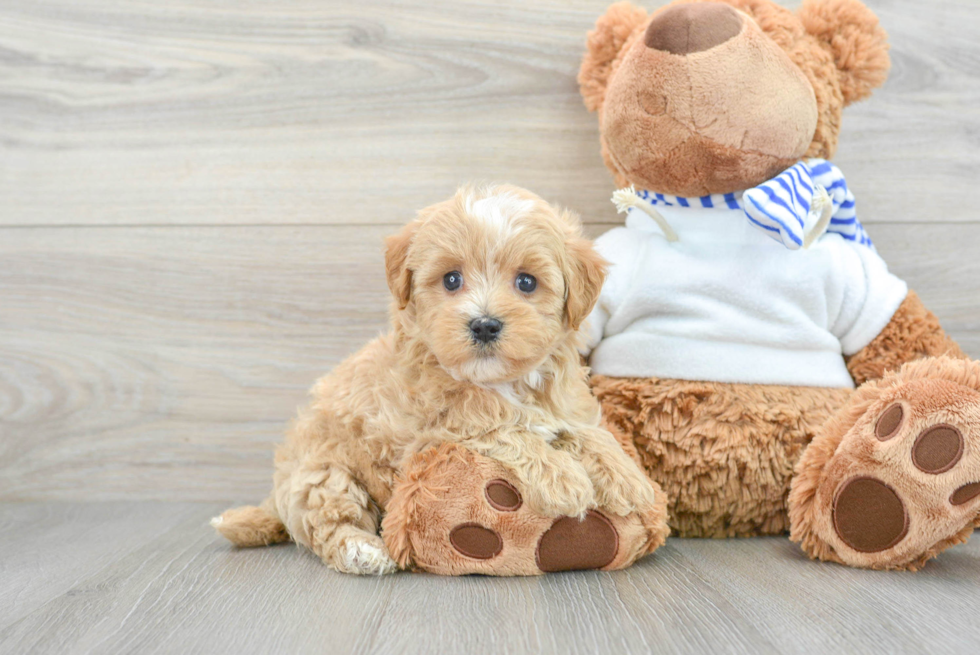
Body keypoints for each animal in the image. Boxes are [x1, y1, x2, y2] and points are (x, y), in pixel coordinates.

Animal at [214, 184, 660, 576]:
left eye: (526, 282)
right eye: (451, 279)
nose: (484, 325)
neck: (500, 382)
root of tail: (276, 491)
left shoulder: (561, 401)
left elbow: (583, 429)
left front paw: (629, 477)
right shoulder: (433, 431)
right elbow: (505, 426)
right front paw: (562, 478)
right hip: (324, 473)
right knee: (329, 524)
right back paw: (364, 552)